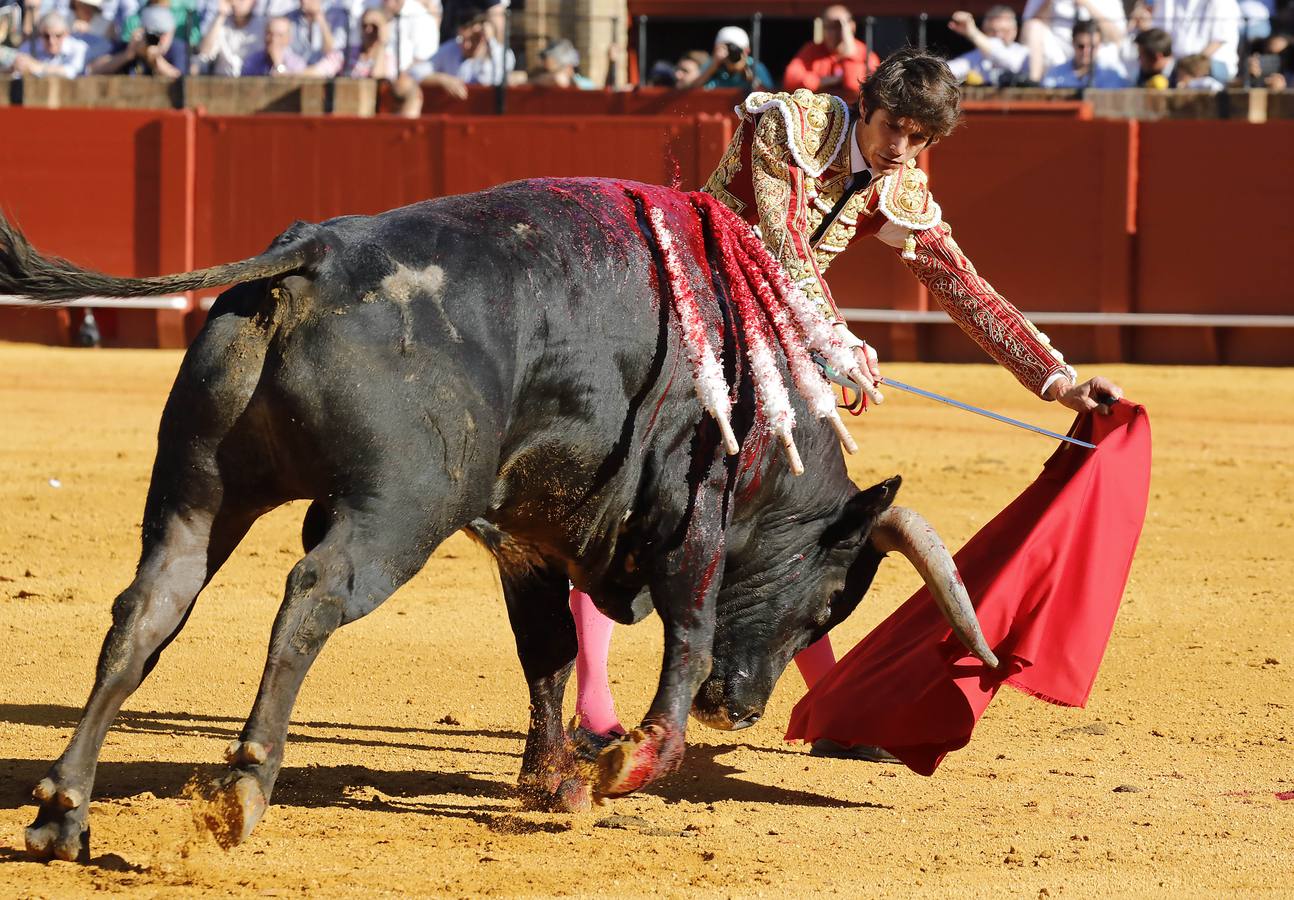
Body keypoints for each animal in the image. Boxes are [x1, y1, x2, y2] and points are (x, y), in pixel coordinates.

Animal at [0, 174, 998, 858]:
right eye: (830, 603)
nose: (743, 712)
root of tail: (315, 257)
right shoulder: (690, 518)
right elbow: (687, 633)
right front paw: (626, 764)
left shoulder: (531, 539)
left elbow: (546, 652)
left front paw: (555, 784)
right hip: (401, 508)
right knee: (313, 594)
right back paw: (244, 787)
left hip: (200, 488)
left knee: (148, 608)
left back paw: (63, 811)